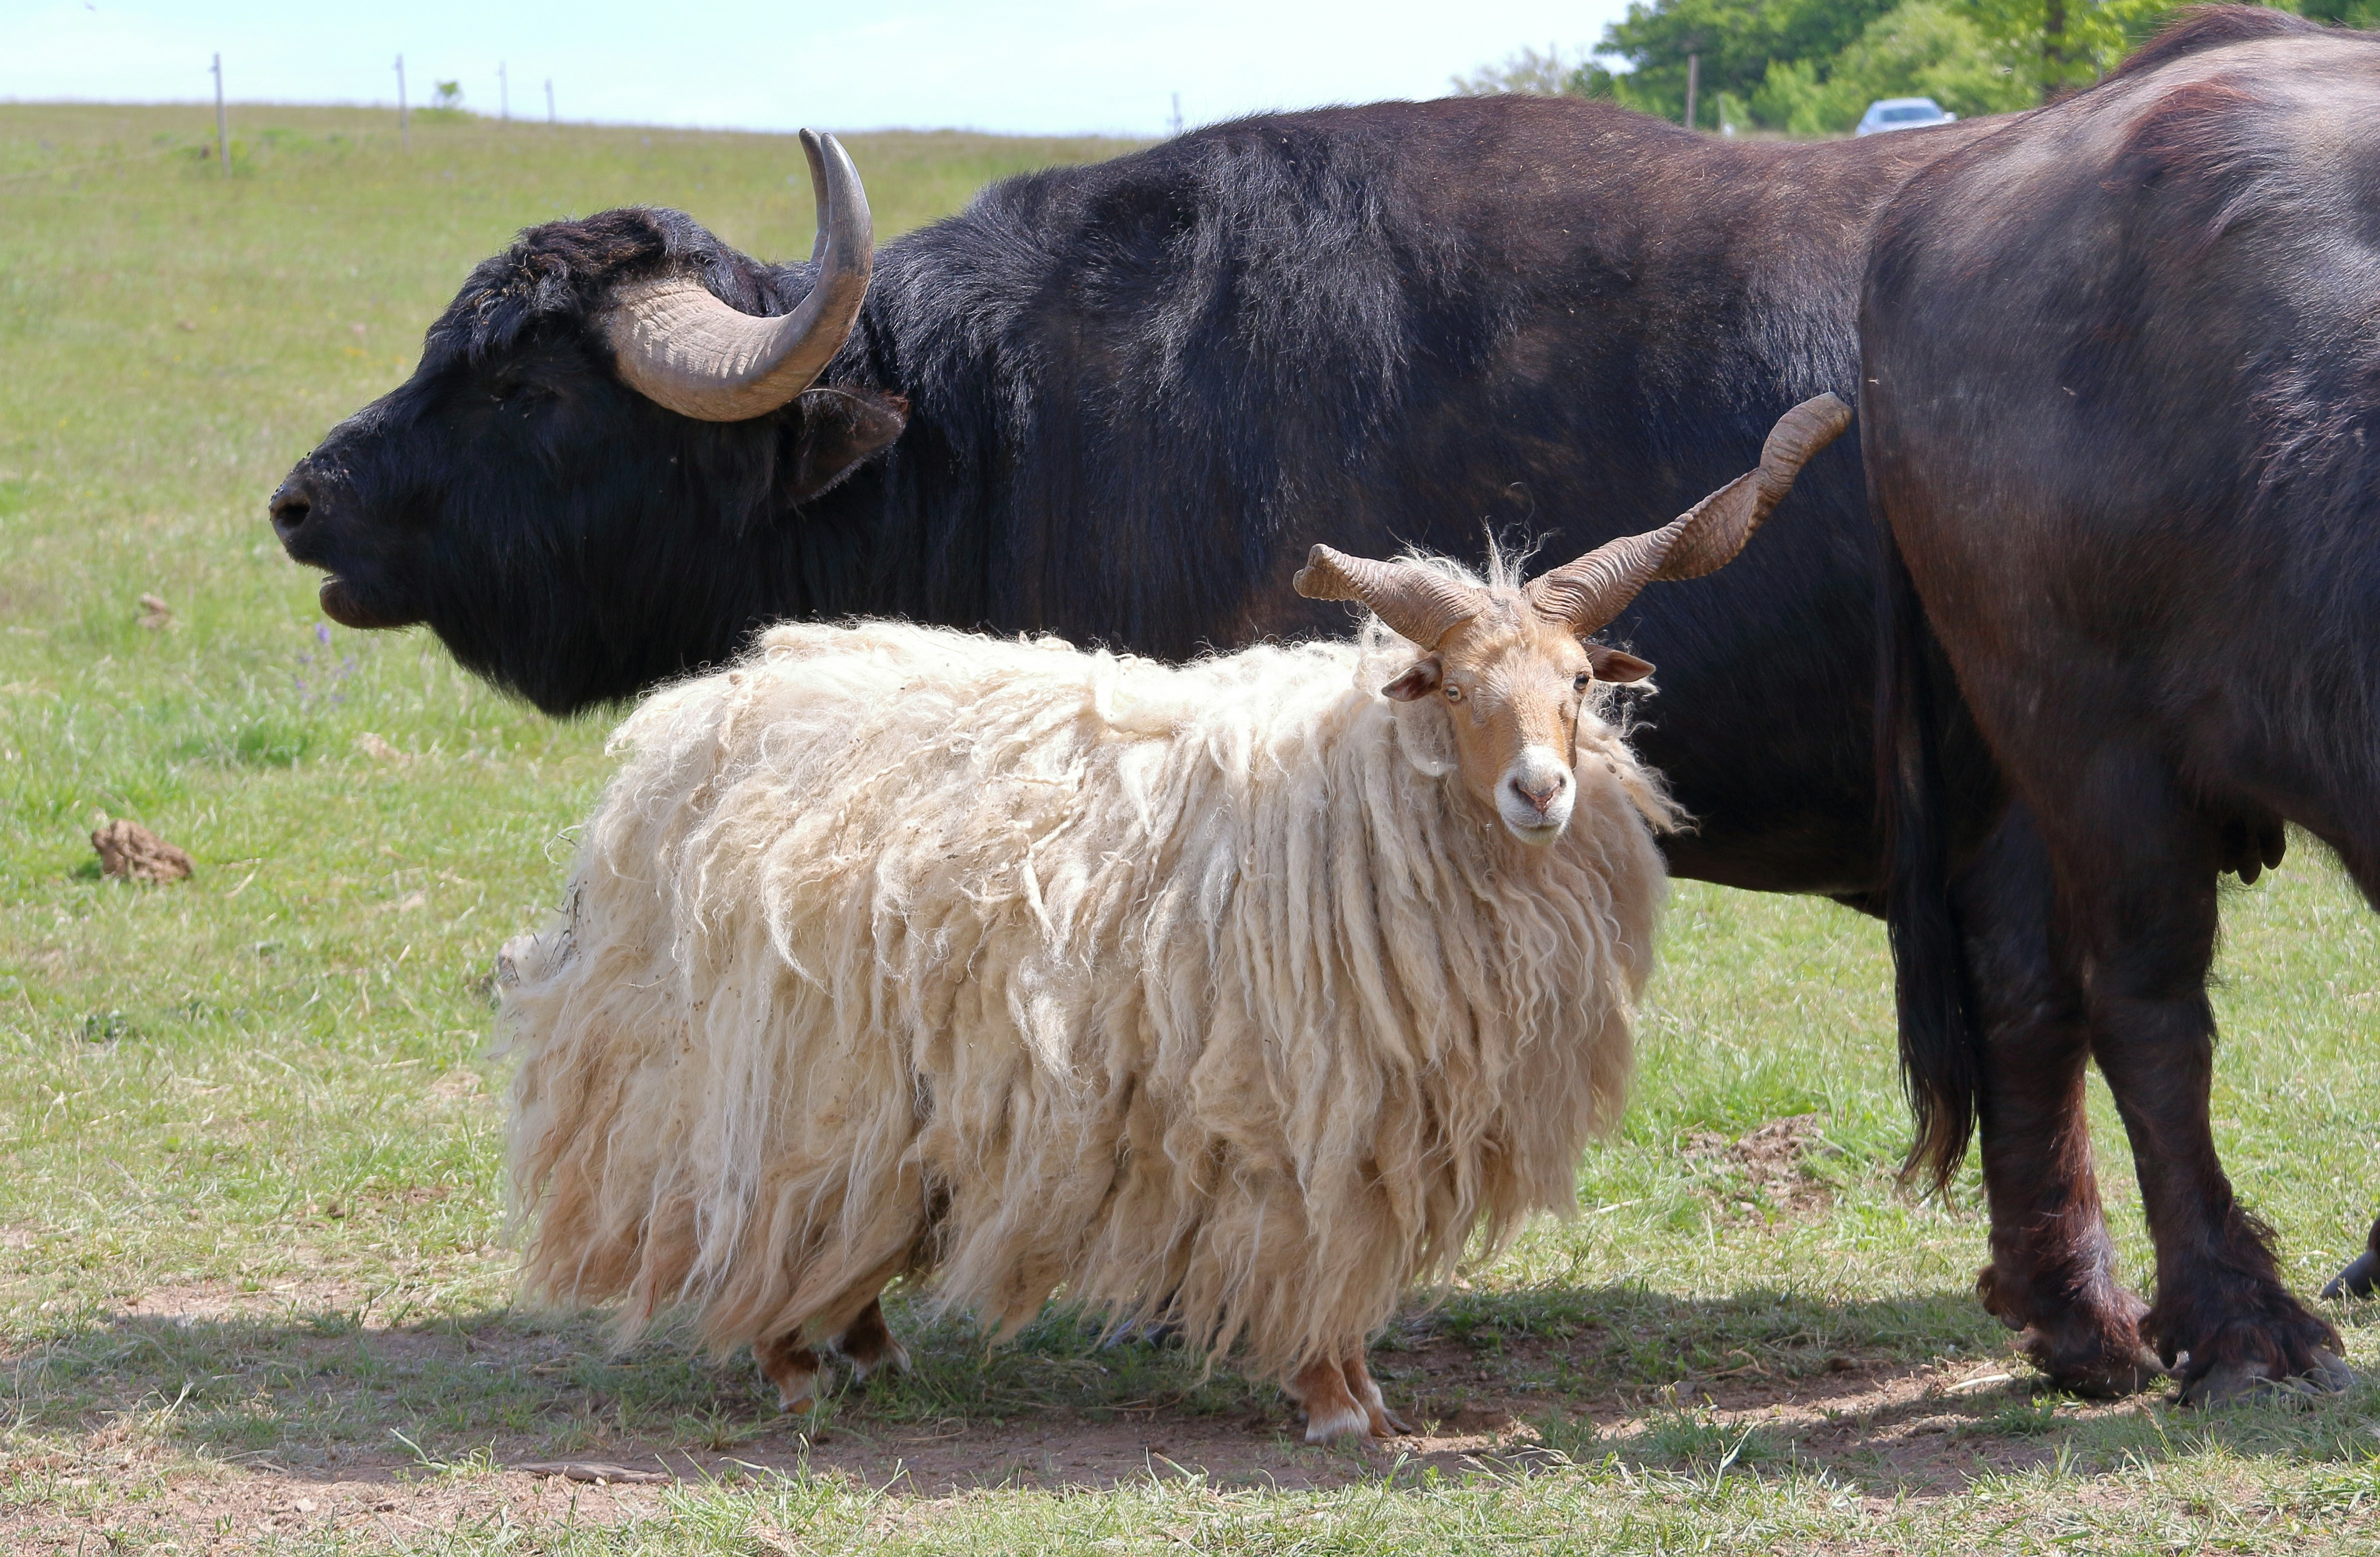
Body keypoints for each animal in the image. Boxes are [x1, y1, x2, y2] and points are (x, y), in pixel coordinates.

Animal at [500, 395, 1851, 1443]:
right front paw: (1332, 1402)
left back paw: (867, 1345)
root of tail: (681, 736)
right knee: (761, 1205)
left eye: (1576, 684)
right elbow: (1317, 1247)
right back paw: (792, 1364)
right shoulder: (1306, 1100)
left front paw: (1359, 1397)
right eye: (1457, 690)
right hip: (781, 1068)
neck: (1357, 798)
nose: (1540, 790)